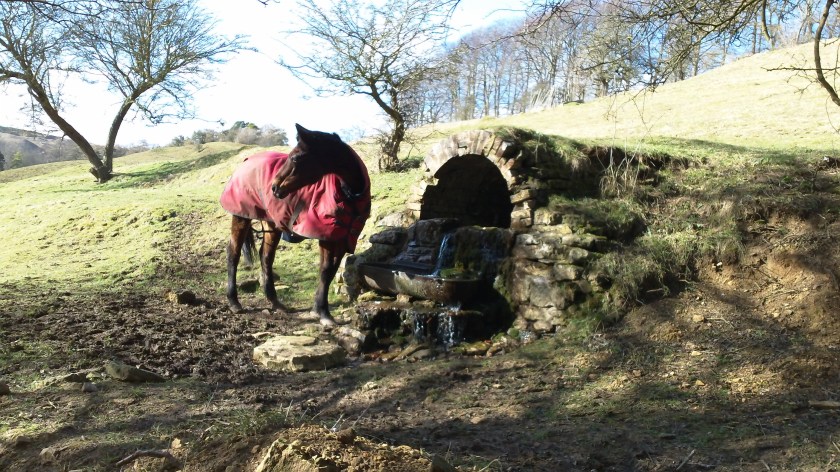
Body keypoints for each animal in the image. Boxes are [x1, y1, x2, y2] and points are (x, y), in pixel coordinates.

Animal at [219, 124, 371, 326]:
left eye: (296, 157)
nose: (275, 187)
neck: (349, 196)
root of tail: (246, 161)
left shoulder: (342, 239)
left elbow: (330, 272)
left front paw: (318, 309)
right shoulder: (326, 238)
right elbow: (325, 271)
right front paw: (324, 313)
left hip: (272, 224)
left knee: (266, 257)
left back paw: (275, 302)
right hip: (241, 217)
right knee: (233, 254)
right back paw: (234, 302)